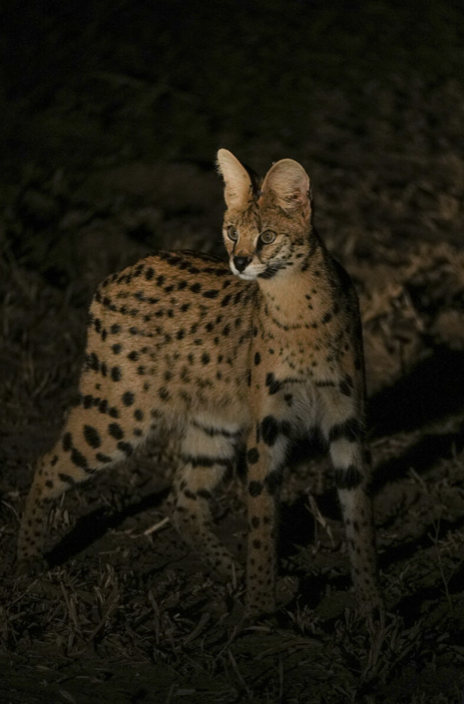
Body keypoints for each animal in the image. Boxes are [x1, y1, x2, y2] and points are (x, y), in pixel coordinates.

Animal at [17, 149, 382, 619]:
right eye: (232, 232)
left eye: (267, 236)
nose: (239, 262)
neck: (296, 304)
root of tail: (116, 273)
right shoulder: (267, 425)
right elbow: (262, 516)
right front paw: (259, 611)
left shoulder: (347, 418)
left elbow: (360, 514)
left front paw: (373, 607)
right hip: (120, 415)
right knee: (47, 463)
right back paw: (26, 560)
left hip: (213, 421)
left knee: (185, 500)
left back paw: (231, 573)